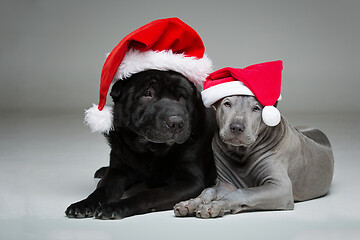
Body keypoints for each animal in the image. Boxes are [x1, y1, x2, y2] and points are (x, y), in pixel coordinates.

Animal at [65, 70, 217, 219]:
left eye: (182, 97)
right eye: (148, 93)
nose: (176, 123)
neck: (150, 151)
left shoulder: (190, 181)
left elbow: (148, 195)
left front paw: (115, 207)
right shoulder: (118, 170)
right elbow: (102, 189)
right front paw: (83, 204)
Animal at [173, 95, 334, 218]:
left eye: (256, 108)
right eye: (227, 103)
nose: (236, 127)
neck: (241, 153)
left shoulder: (281, 188)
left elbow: (242, 192)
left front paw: (216, 205)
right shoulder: (225, 184)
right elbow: (209, 190)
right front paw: (190, 203)